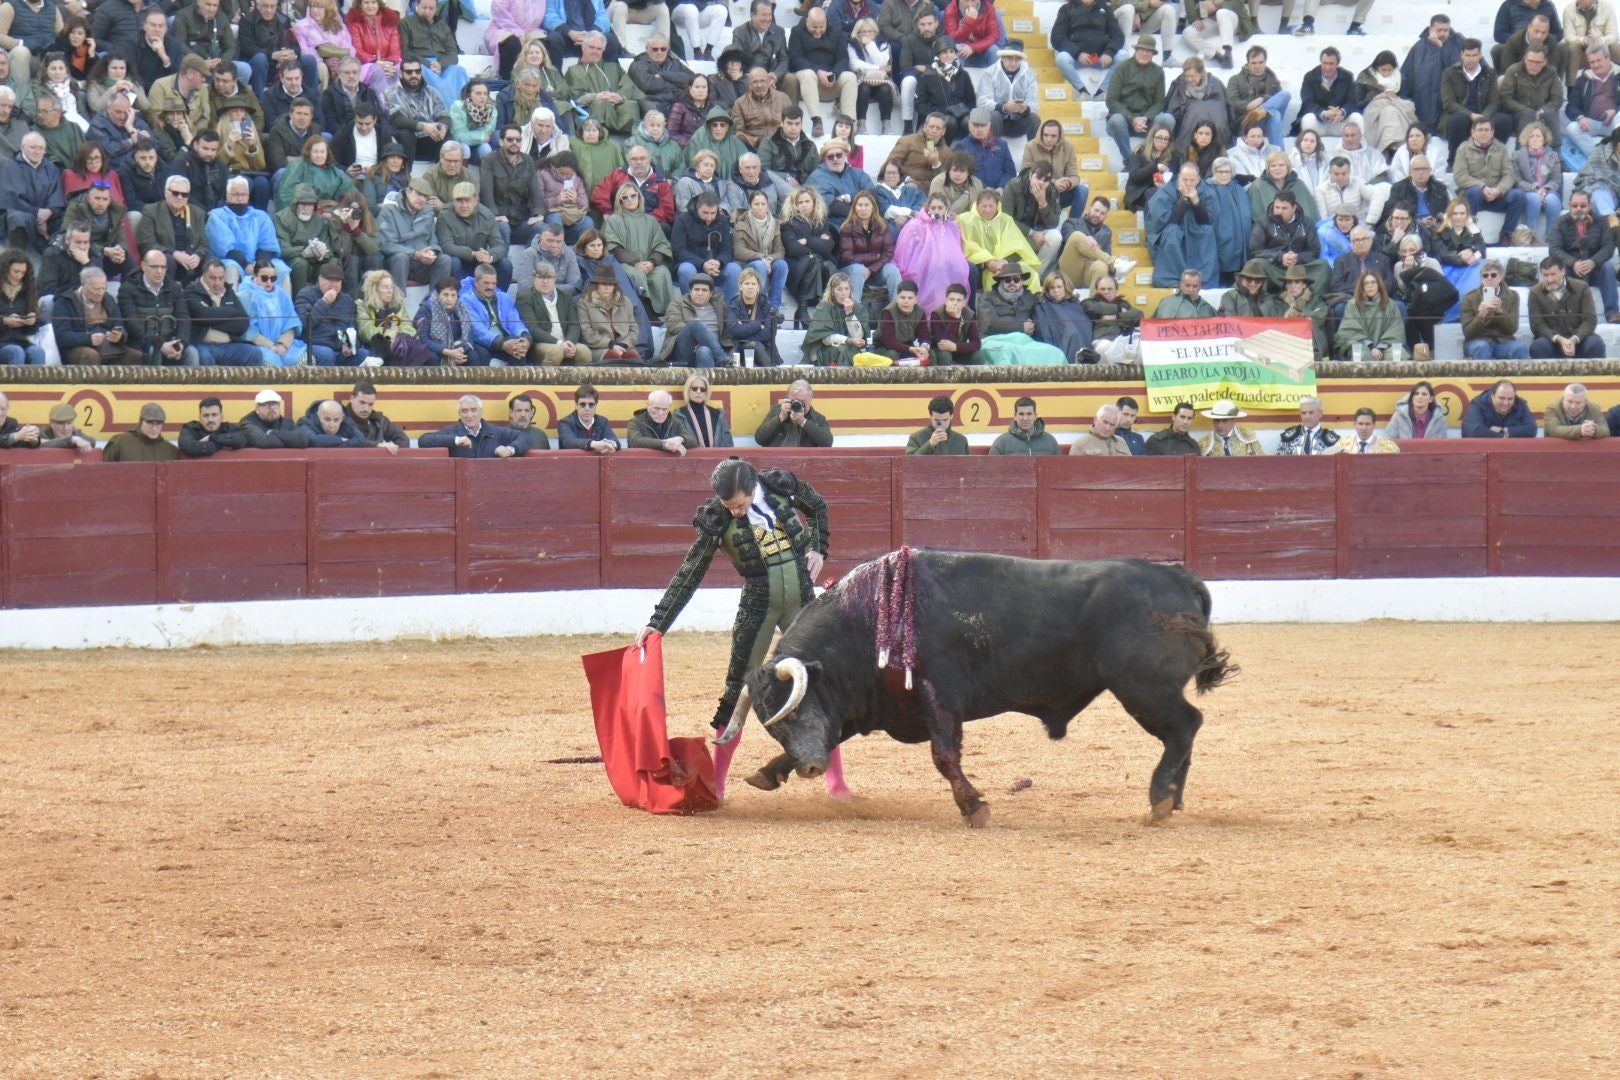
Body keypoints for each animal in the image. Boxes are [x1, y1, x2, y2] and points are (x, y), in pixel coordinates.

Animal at [729, 553, 1231, 835]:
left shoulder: (939, 698)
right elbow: (835, 735)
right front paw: (767, 773)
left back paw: (1160, 798)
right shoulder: (866, 706)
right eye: (773, 726)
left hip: (1144, 688)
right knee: (1184, 730)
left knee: (1185, 725)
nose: (810, 768)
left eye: (794, 712)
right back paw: (1172, 799)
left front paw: (974, 808)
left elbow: (945, 756)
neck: (869, 617)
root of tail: (1179, 578)